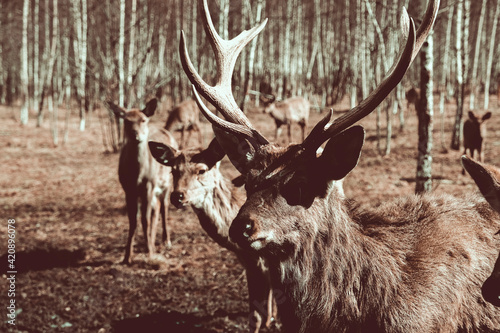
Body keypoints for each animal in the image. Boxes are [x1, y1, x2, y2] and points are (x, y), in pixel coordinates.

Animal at [107, 98, 178, 264]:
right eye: (127, 121)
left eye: (143, 120)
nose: (136, 135)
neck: (137, 175)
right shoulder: (128, 189)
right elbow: (133, 220)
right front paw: (127, 256)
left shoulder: (149, 186)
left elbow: (145, 220)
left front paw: (150, 252)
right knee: (156, 208)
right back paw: (151, 241)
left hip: (167, 183)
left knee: (164, 207)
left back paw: (165, 241)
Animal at [148, 139, 278, 330]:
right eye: (173, 170)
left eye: (201, 170)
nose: (177, 196)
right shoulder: (250, 261)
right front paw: (271, 318)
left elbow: (255, 316)